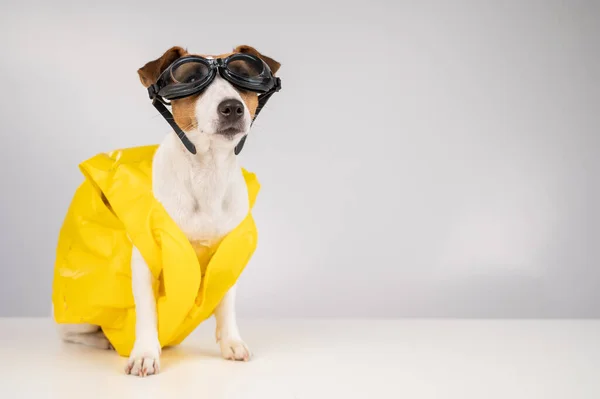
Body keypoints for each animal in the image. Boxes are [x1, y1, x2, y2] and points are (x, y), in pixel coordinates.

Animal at [54, 44, 282, 378]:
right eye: (191, 79)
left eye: (244, 75)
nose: (232, 107)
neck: (207, 172)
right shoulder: (145, 260)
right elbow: (147, 310)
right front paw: (145, 354)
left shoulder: (228, 252)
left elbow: (225, 301)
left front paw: (231, 342)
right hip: (79, 314)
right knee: (75, 334)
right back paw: (106, 341)